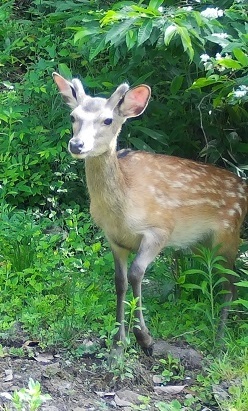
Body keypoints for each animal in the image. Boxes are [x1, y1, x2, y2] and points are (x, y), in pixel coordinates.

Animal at [52, 71, 246, 354]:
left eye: (108, 119)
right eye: (73, 116)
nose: (77, 145)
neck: (123, 208)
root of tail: (244, 186)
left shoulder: (160, 229)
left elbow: (136, 274)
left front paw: (144, 337)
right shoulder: (114, 238)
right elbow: (120, 280)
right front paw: (119, 340)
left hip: (228, 233)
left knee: (229, 285)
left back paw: (220, 340)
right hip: (201, 242)